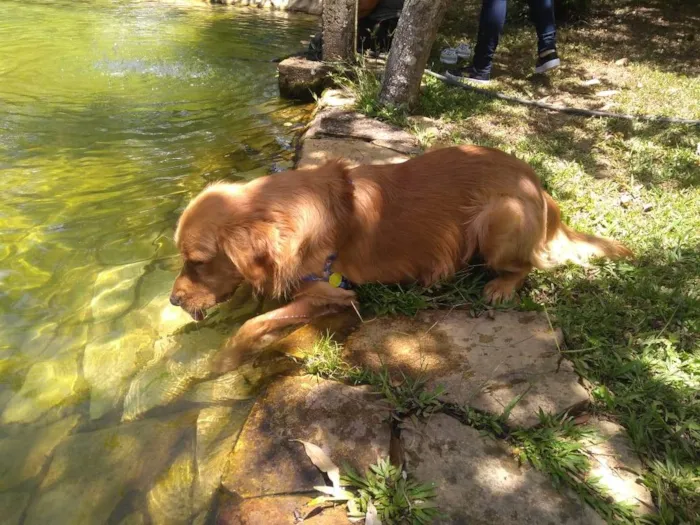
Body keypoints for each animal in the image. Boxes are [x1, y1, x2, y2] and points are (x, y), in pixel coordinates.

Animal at [171, 143, 636, 364]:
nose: (173, 299)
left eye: (198, 262)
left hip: (500, 214)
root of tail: (537, 185)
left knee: (527, 265)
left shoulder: (331, 293)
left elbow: (252, 325)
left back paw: (500, 286)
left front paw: (217, 362)